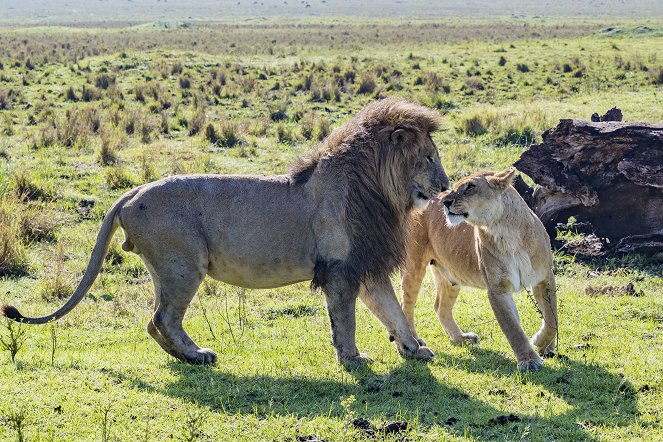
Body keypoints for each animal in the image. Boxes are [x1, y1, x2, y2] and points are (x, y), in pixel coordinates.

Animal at [2, 99, 448, 366]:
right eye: (428, 157)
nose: (445, 187)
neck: (379, 190)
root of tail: (131, 192)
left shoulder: (363, 264)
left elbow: (392, 312)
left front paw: (415, 348)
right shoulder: (339, 269)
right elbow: (346, 321)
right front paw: (353, 359)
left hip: (166, 269)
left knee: (153, 322)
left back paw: (187, 357)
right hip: (183, 266)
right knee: (162, 318)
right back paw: (199, 355)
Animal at [402, 167, 556, 372]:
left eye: (470, 187)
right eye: (455, 188)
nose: (445, 201)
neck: (505, 232)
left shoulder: (544, 278)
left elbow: (552, 318)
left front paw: (544, 343)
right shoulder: (497, 289)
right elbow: (513, 328)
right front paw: (529, 360)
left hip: (451, 275)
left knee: (440, 307)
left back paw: (461, 338)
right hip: (414, 266)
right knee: (406, 306)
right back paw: (415, 341)